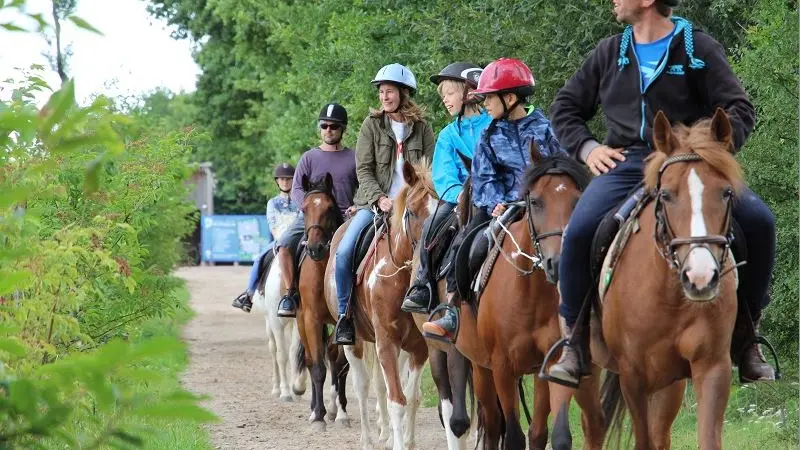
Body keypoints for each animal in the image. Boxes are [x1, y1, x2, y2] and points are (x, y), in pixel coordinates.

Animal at [324, 162, 438, 450]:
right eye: (412, 211)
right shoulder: (386, 340)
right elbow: (397, 401)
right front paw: (398, 443)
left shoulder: (418, 348)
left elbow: (412, 397)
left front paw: (407, 441)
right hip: (354, 341)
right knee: (363, 386)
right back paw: (367, 438)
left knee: (379, 386)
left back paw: (384, 433)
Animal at [444, 145, 608, 450]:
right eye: (535, 201)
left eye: (577, 200)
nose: (558, 262)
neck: (531, 292)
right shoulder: (501, 368)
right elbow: (513, 436)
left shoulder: (555, 363)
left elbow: (555, 436)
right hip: (482, 370)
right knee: (493, 423)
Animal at [596, 109, 740, 450]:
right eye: (666, 194)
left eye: (726, 192)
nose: (700, 278)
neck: (670, 299)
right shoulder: (632, 377)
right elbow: (643, 440)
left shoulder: (712, 367)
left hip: (668, 385)